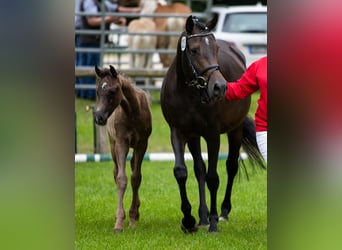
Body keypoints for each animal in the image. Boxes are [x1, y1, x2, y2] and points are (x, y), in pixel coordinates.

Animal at [94, 65, 152, 232]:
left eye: (113, 91)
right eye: (97, 91)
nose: (98, 117)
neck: (133, 111)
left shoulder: (142, 144)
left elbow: (136, 178)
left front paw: (132, 217)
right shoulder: (121, 143)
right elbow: (121, 178)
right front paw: (119, 221)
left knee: (133, 167)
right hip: (112, 144)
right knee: (116, 172)